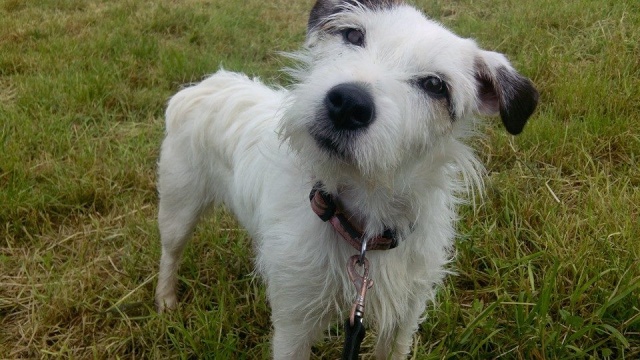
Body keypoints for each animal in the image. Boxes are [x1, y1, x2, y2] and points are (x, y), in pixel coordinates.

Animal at [154, 0, 536, 358]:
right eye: (353, 35)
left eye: (435, 85)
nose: (349, 103)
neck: (362, 226)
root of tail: (209, 81)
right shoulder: (293, 325)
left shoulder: (405, 317)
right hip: (178, 207)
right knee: (170, 253)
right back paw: (165, 301)